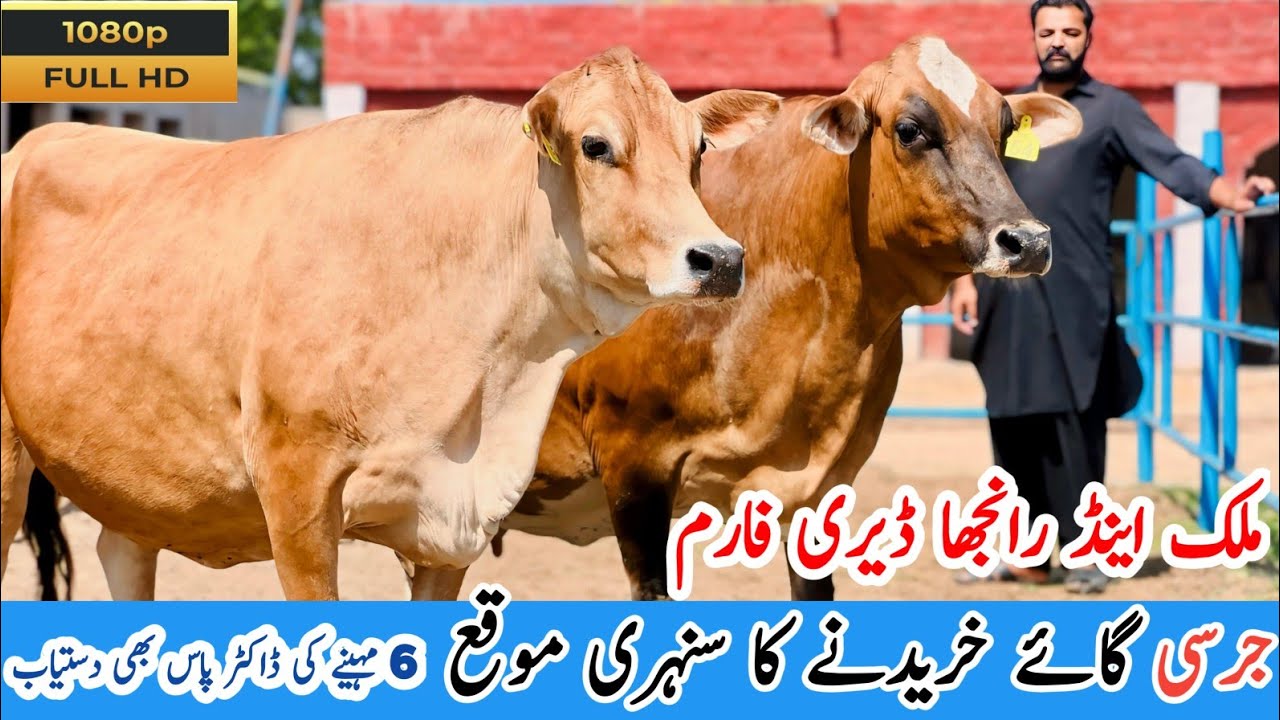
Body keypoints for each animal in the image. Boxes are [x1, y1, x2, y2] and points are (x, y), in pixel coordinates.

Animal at [0, 47, 783, 601]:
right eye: (596, 146)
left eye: (698, 150)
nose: (719, 259)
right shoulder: (298, 497)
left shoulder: (452, 525)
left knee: (123, 551)